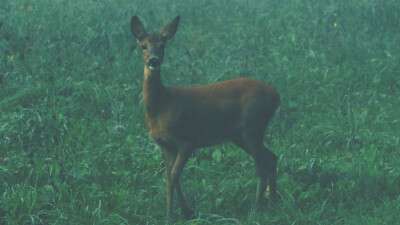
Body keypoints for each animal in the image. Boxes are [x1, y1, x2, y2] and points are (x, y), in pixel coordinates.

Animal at [130, 15, 280, 220]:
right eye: (143, 46)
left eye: (162, 45)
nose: (154, 60)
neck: (161, 107)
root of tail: (277, 96)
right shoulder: (165, 145)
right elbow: (170, 177)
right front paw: (183, 213)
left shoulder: (187, 140)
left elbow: (173, 177)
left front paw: (173, 215)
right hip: (239, 135)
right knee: (272, 158)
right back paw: (272, 204)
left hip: (253, 127)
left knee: (262, 168)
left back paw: (255, 210)